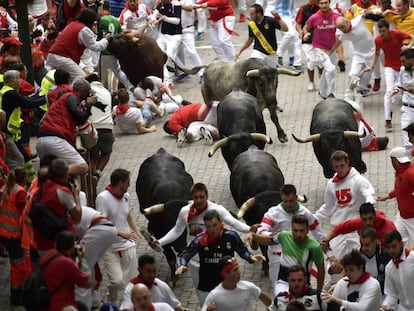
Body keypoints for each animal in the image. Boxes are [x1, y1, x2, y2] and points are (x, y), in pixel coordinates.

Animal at [136, 147, 194, 282]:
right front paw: (174, 277)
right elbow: (170, 257)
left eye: (185, 224)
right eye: (168, 223)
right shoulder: (160, 234)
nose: (179, 245)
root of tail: (161, 152)